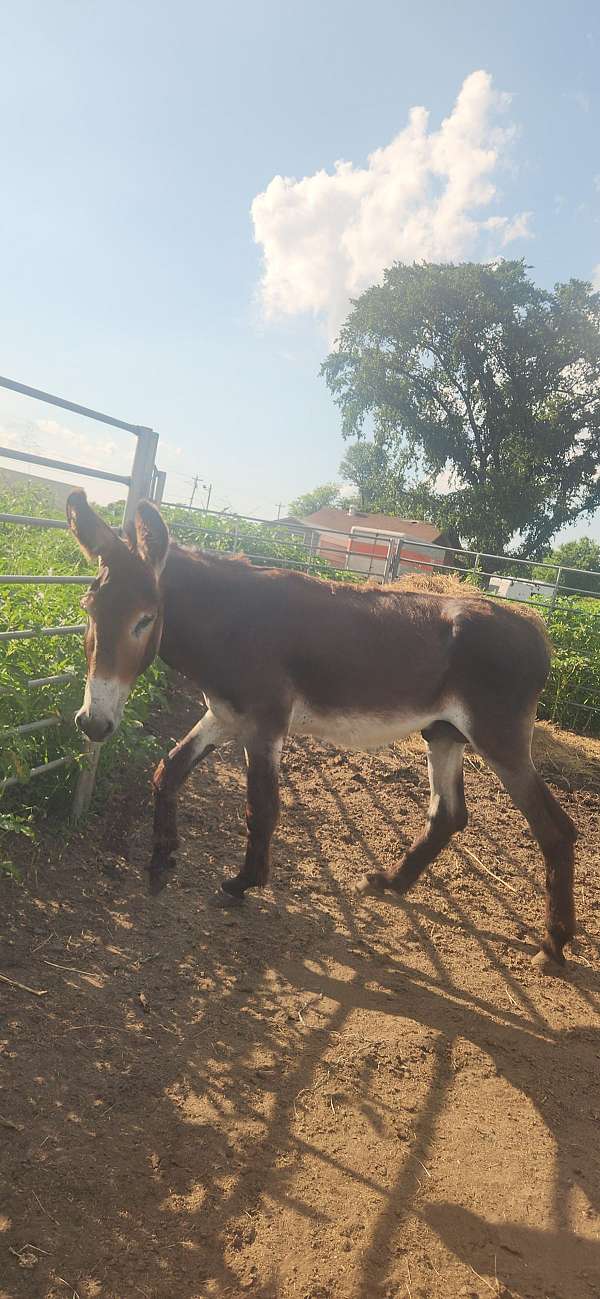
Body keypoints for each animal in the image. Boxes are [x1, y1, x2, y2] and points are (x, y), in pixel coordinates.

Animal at [66, 489, 577, 973]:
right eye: (88, 609)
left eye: (145, 619)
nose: (92, 723)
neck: (231, 623)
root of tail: (536, 630)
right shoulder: (225, 716)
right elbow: (168, 772)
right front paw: (161, 858)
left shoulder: (264, 722)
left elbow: (261, 808)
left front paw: (242, 883)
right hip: (444, 733)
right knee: (448, 814)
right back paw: (390, 882)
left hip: (500, 738)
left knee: (555, 829)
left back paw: (553, 944)